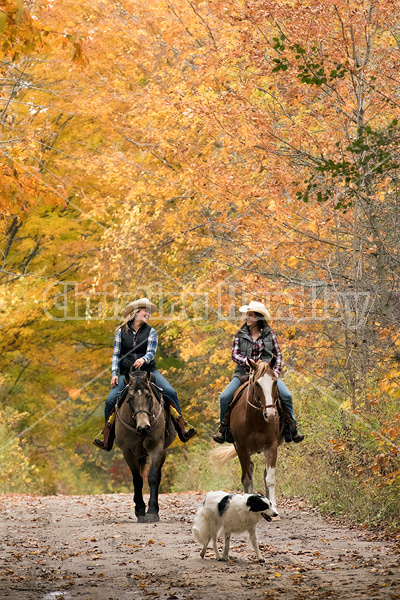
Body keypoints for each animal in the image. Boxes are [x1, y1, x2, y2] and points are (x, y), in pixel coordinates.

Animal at [116, 370, 177, 520]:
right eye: (130, 398)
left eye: (149, 396)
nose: (144, 427)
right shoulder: (128, 452)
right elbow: (137, 479)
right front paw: (140, 509)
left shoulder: (156, 447)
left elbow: (153, 477)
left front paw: (152, 511)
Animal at [212, 358, 282, 512]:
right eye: (257, 383)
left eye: (275, 381)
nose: (270, 414)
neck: (255, 418)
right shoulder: (241, 447)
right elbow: (247, 479)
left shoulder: (272, 445)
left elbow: (270, 479)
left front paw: (273, 506)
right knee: (249, 470)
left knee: (264, 474)